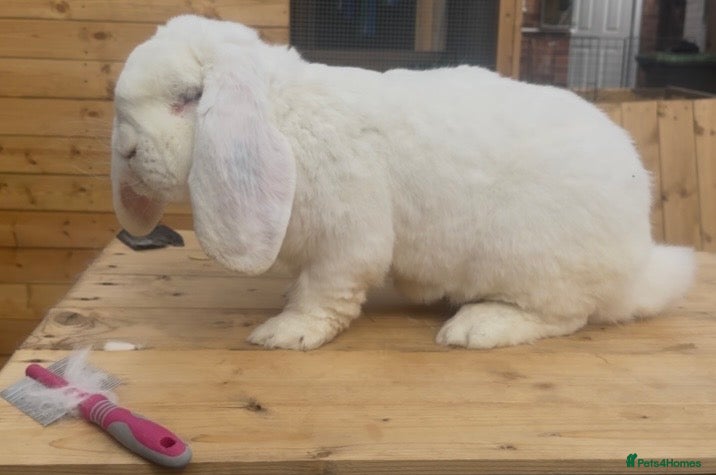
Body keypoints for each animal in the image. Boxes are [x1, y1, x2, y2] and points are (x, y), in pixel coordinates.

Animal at [111, 15, 695, 351]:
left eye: (188, 97)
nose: (127, 151)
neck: (283, 118)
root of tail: (638, 263)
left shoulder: (347, 242)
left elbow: (326, 292)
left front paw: (288, 332)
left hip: (537, 266)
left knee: (566, 316)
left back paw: (477, 327)